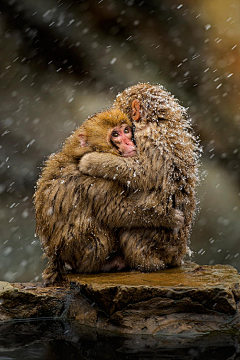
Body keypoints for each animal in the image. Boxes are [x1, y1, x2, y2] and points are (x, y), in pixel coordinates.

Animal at [34, 107, 138, 284]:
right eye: (115, 134)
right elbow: (115, 212)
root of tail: (56, 255)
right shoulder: (98, 179)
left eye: (126, 130)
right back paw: (105, 265)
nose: (128, 142)